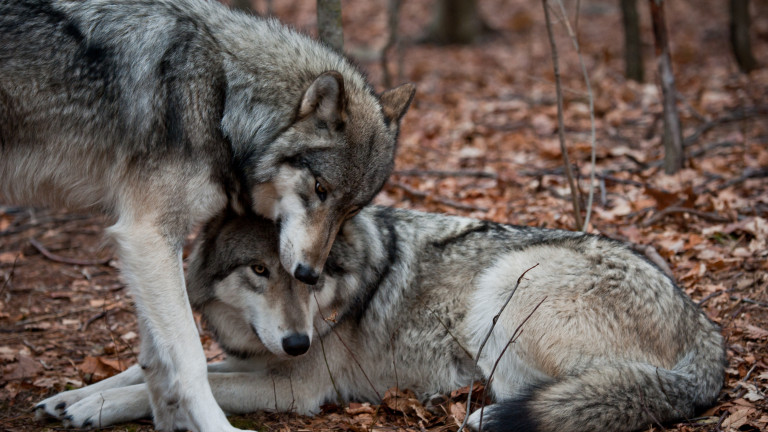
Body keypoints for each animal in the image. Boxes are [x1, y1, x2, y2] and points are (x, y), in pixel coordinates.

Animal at [0, 0, 414, 428]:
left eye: (352, 210)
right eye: (320, 189)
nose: (309, 274)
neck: (222, 98)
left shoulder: (149, 245)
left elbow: (154, 361)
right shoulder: (147, 233)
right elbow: (190, 359)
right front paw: (214, 426)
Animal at [39, 207, 728, 432]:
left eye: (308, 273)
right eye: (260, 270)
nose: (297, 341)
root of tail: (707, 330)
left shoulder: (296, 387)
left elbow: (187, 385)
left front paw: (93, 409)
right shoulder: (259, 359)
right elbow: (148, 370)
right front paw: (72, 396)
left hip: (505, 287)